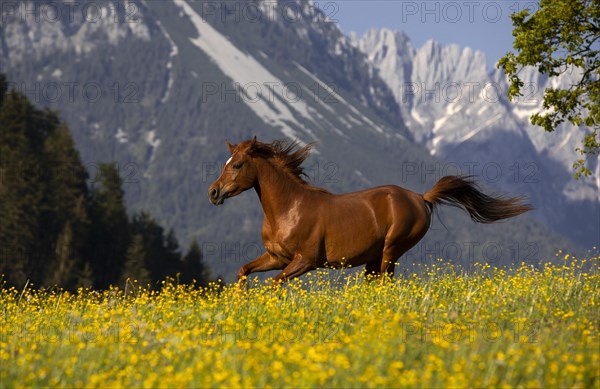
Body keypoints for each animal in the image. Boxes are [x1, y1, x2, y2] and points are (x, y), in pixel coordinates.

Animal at [206, 136, 528, 282]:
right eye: (226, 162)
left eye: (237, 165)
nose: (213, 193)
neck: (288, 210)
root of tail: (420, 197)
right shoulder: (276, 257)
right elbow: (243, 272)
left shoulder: (305, 261)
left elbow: (275, 284)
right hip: (373, 258)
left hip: (391, 250)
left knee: (386, 284)